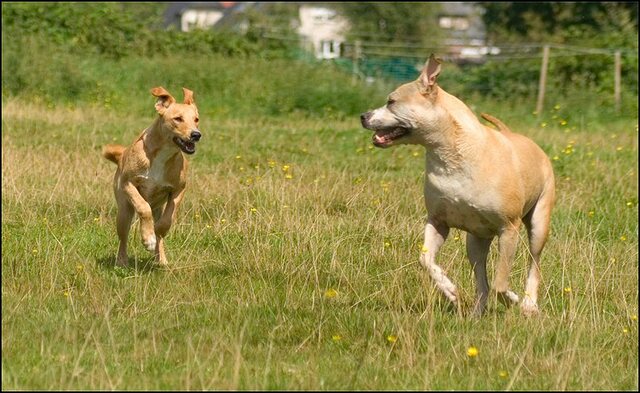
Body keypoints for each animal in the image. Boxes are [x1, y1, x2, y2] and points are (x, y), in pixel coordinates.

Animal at [102, 86, 200, 266]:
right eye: (178, 119)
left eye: (196, 119)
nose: (196, 135)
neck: (162, 155)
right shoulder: (128, 184)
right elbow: (143, 207)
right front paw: (148, 239)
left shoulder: (178, 189)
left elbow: (166, 221)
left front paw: (154, 235)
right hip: (123, 211)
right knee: (123, 237)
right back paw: (122, 261)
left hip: (157, 207)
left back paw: (160, 259)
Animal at [360, 54, 556, 316]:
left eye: (391, 101)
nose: (363, 116)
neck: (452, 153)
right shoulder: (438, 221)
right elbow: (425, 259)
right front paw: (450, 290)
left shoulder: (508, 229)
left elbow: (501, 283)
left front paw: (512, 299)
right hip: (475, 241)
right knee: (482, 280)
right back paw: (476, 314)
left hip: (539, 224)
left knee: (533, 264)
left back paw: (528, 304)